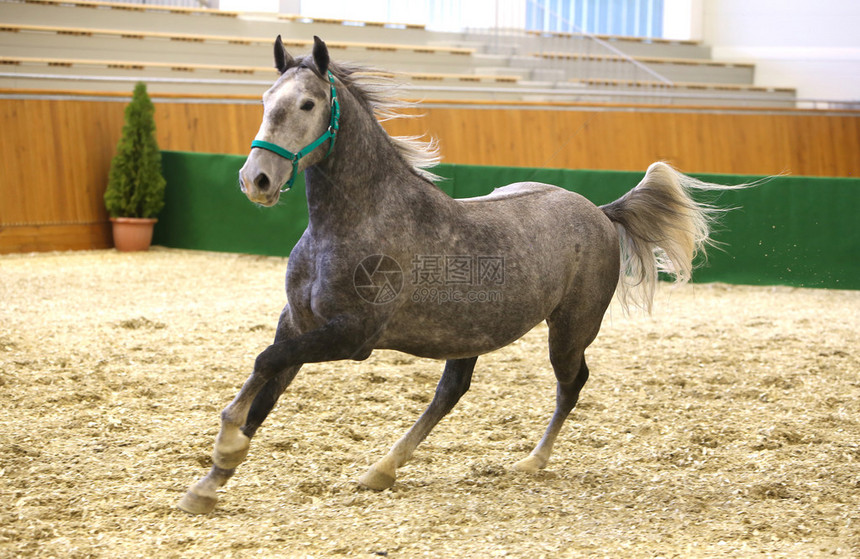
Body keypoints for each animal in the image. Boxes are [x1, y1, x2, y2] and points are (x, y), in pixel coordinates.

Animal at [180, 36, 740, 516]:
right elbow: (267, 383)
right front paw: (209, 484)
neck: (360, 220)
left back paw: (530, 462)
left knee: (571, 383)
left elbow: (264, 363)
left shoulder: (352, 337)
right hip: (470, 331)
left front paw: (225, 445)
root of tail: (601, 212)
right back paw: (382, 470)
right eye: (265, 98)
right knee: (452, 391)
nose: (256, 180)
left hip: (569, 330)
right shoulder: (298, 323)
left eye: (307, 105)